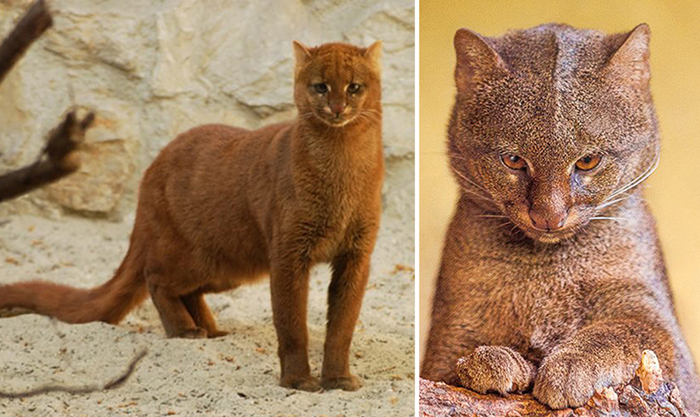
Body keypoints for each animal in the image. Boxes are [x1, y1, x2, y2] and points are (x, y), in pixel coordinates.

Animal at [0, 40, 382, 392]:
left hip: (230, 266)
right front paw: (299, 381)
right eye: (320, 86)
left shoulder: (356, 256)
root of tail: (153, 166)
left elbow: (342, 327)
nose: (337, 107)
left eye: (354, 86)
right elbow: (291, 324)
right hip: (201, 257)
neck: (342, 163)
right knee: (156, 277)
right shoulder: (289, 253)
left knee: (187, 291)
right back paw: (186, 330)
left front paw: (339, 379)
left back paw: (211, 329)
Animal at [422, 23, 700, 410]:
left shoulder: (658, 326)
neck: (546, 272)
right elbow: (450, 369)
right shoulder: (445, 341)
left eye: (588, 161)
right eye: (513, 160)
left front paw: (567, 368)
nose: (548, 216)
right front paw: (490, 362)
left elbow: (623, 332)